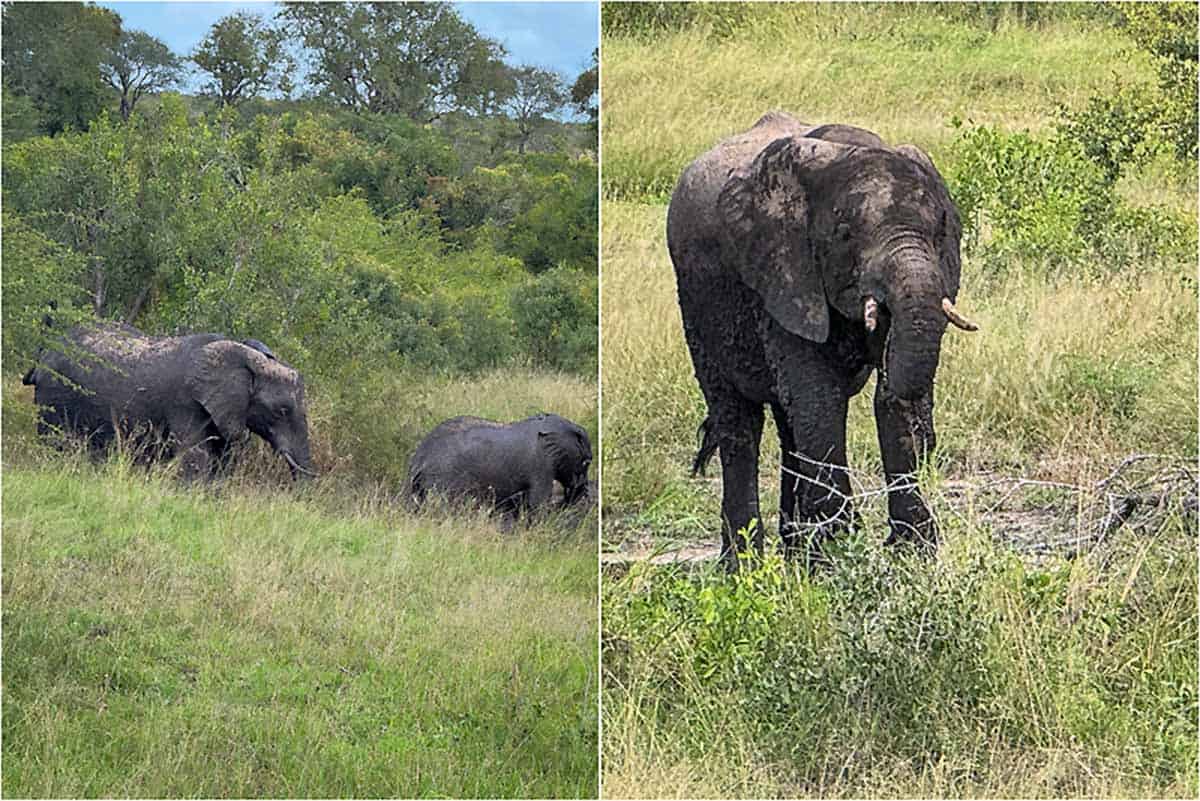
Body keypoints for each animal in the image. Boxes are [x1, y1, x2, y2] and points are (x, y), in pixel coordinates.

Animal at [24, 321, 314, 482]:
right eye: (281, 411)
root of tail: (45, 353)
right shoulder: (186, 404)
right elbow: (197, 457)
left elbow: (222, 460)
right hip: (54, 396)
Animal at [667, 112, 974, 568]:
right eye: (844, 233)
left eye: (940, 229)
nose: (932, 444)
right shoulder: (785, 274)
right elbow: (819, 398)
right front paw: (841, 554)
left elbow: (872, 405)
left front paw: (913, 555)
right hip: (696, 305)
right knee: (738, 420)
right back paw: (743, 568)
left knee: (789, 426)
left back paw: (796, 556)